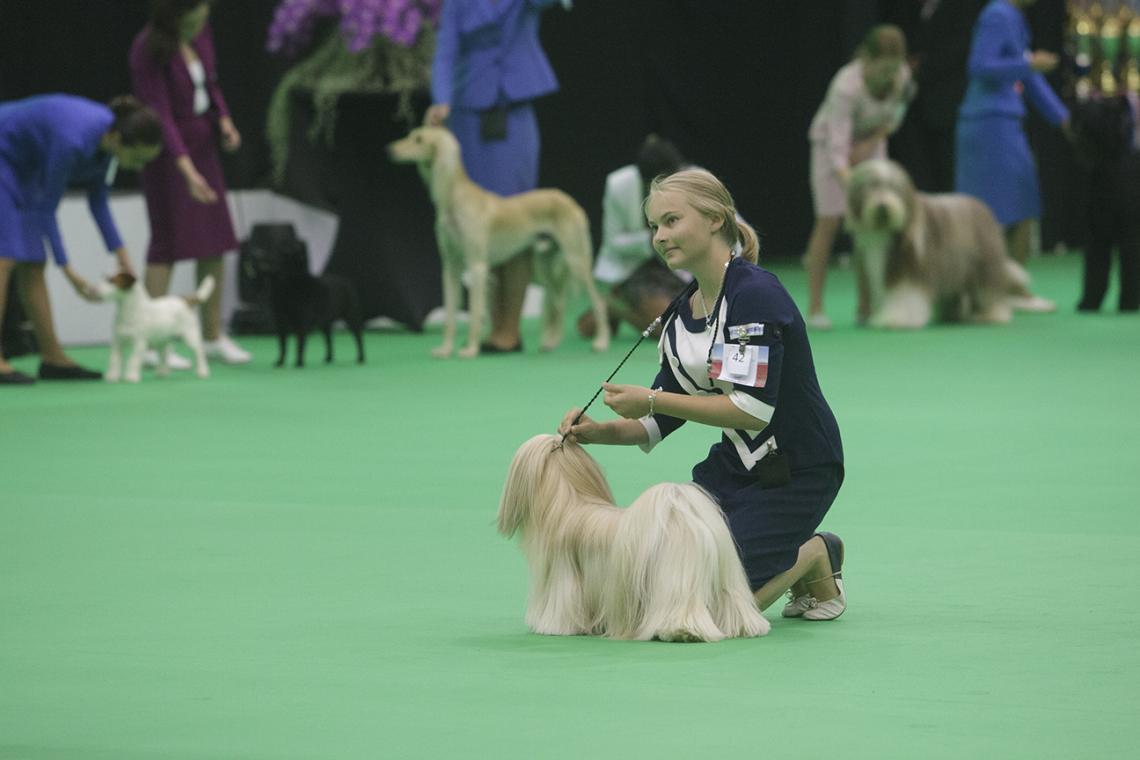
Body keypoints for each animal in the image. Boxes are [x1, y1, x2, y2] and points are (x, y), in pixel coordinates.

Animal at [387, 126, 611, 357]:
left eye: (419, 140)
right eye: (411, 135)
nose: (390, 150)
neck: (455, 199)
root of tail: (570, 201)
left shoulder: (477, 266)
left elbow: (476, 313)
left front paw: (471, 350)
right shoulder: (451, 267)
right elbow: (450, 315)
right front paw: (446, 349)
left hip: (576, 261)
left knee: (598, 303)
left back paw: (601, 343)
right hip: (546, 264)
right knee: (558, 304)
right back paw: (550, 344)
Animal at [497, 437, 770, 647]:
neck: (569, 502)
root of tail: (682, 514)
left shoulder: (562, 578)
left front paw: (553, 627)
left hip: (675, 580)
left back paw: (682, 632)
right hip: (726, 577)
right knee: (734, 604)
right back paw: (745, 626)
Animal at [843, 159, 1053, 328]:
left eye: (894, 188)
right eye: (870, 188)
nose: (883, 206)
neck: (885, 230)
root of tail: (980, 205)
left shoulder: (909, 268)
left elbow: (905, 295)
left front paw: (896, 319)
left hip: (984, 266)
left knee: (988, 292)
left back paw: (991, 315)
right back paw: (952, 316)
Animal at [1071, 95, 1135, 314]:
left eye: (1097, 114)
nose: (1076, 126)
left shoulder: (1130, 233)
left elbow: (1129, 268)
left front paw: (1128, 304)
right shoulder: (1097, 231)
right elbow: (1095, 267)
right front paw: (1088, 302)